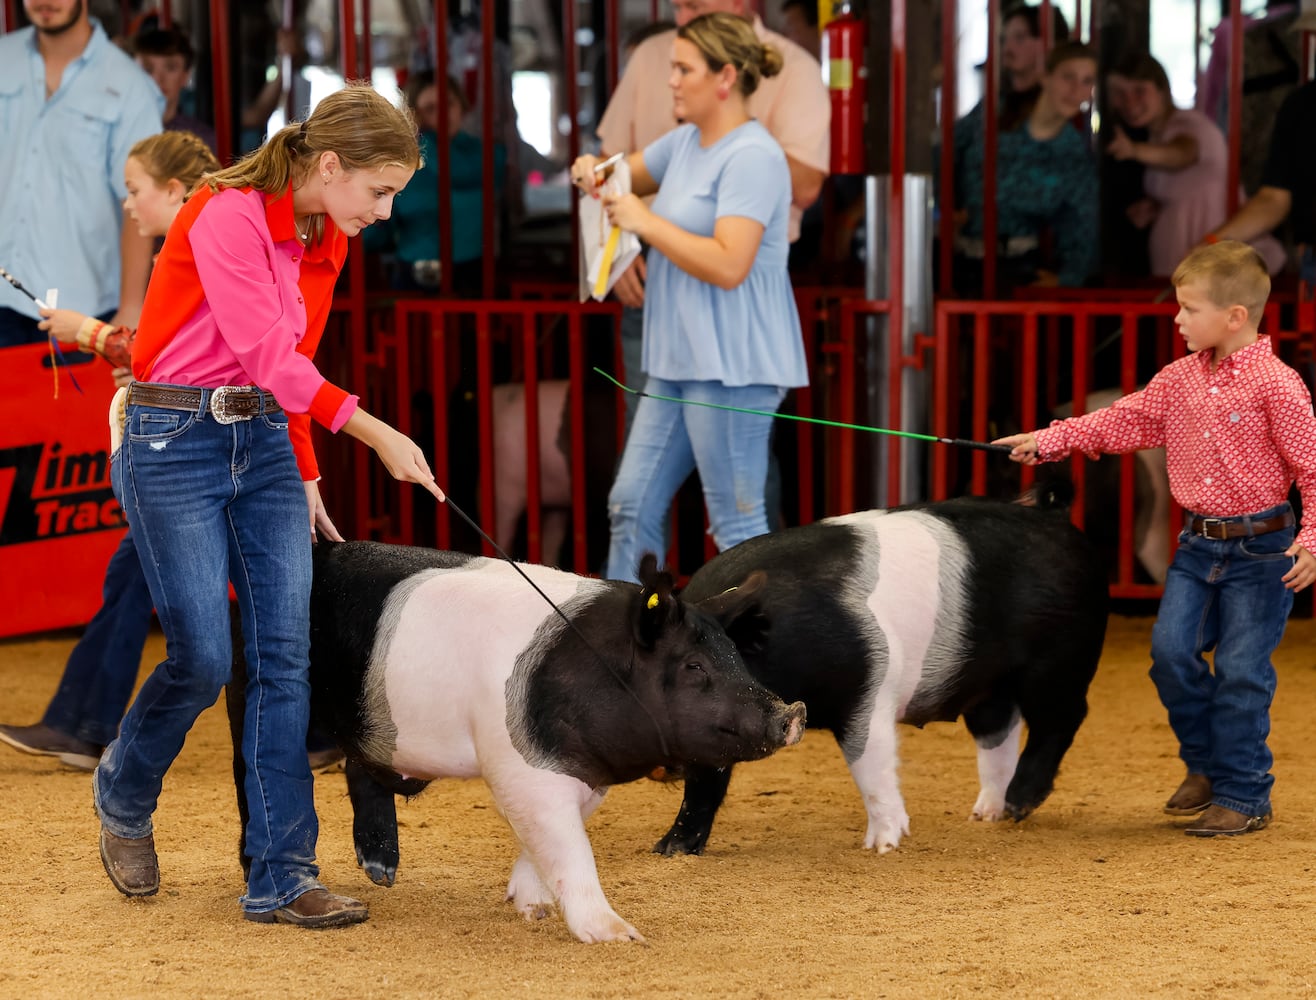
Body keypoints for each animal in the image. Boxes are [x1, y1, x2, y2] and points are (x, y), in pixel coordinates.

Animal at [228, 542, 800, 942]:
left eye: (736, 657)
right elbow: (568, 845)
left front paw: (533, 909)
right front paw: (621, 936)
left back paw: (382, 874)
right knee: (253, 775)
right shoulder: (522, 767)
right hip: (252, 694)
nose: (791, 712)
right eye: (694, 666)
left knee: (360, 768)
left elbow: (549, 840)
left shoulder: (582, 772)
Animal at [658, 489, 1110, 857]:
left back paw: (1019, 803)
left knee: (1064, 720)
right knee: (1000, 731)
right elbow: (704, 785)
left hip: (1059, 662)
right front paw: (669, 850)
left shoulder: (868, 691)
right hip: (992, 687)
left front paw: (882, 846)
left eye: (701, 667)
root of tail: (1060, 521)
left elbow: (870, 762)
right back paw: (986, 814)